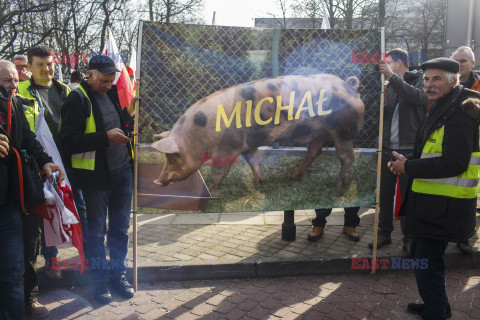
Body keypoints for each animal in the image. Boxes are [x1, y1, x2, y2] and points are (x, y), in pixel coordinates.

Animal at [152, 74, 366, 189]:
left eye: (174, 155)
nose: (157, 180)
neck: (198, 134)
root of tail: (350, 86)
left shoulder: (228, 148)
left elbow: (219, 170)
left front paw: (212, 189)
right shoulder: (249, 144)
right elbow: (254, 162)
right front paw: (260, 183)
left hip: (344, 130)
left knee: (347, 156)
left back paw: (339, 185)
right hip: (320, 131)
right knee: (315, 151)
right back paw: (294, 177)